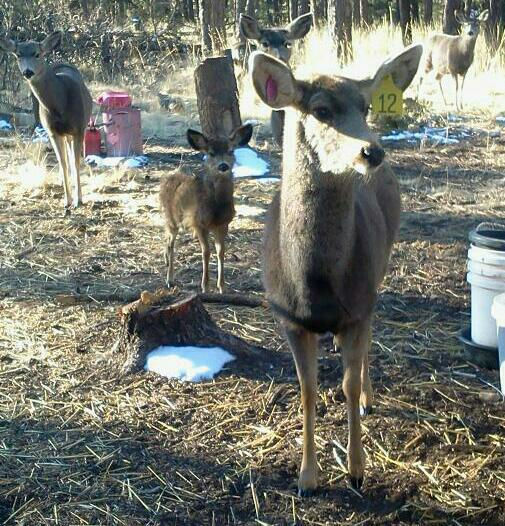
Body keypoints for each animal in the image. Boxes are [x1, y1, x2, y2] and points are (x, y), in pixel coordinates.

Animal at [0, 31, 92, 214]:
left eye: (37, 54)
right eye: (18, 54)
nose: (28, 72)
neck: (60, 105)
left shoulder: (79, 128)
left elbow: (75, 162)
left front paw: (78, 200)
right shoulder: (52, 131)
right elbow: (62, 163)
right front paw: (67, 200)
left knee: (72, 158)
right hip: (63, 134)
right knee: (66, 158)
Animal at [159, 123, 253, 294]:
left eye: (231, 151)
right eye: (211, 153)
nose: (223, 165)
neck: (216, 208)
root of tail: (167, 178)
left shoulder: (223, 223)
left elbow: (221, 251)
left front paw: (222, 286)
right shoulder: (199, 223)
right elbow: (206, 252)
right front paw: (205, 286)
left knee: (167, 239)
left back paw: (166, 262)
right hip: (171, 217)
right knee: (170, 243)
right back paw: (170, 279)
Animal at [248, 43, 422, 496]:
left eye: (366, 106)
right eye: (321, 110)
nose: (372, 151)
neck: (316, 283)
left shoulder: (358, 306)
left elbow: (348, 382)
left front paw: (357, 470)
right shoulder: (288, 317)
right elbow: (308, 390)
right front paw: (307, 477)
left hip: (380, 268)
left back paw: (369, 397)